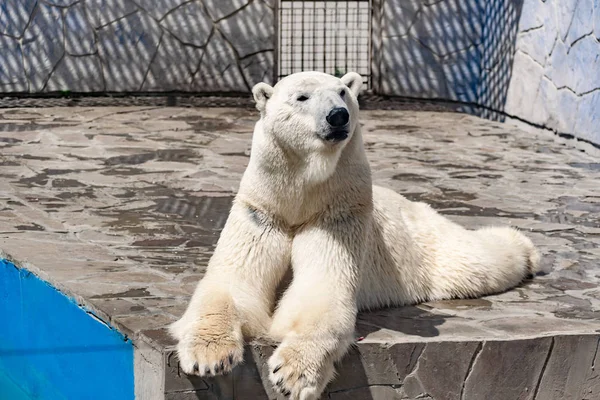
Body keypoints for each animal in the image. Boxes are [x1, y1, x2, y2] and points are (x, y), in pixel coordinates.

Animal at [170, 70, 540, 398]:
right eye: (302, 97)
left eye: (343, 92)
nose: (338, 116)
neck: (301, 200)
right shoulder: (262, 213)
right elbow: (232, 285)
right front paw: (208, 358)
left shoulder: (339, 217)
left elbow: (321, 291)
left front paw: (292, 375)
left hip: (425, 246)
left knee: (474, 262)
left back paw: (528, 250)